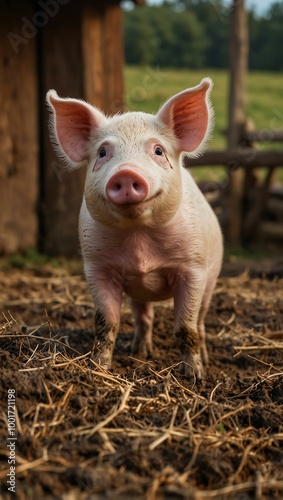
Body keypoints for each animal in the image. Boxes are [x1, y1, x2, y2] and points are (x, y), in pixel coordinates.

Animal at [46, 79, 224, 378]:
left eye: (158, 151)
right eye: (103, 152)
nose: (126, 173)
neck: (139, 238)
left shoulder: (193, 268)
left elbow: (184, 327)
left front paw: (195, 376)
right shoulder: (97, 267)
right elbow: (105, 324)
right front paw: (98, 368)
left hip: (212, 278)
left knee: (200, 320)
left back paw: (207, 361)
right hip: (137, 292)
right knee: (144, 317)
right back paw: (140, 353)